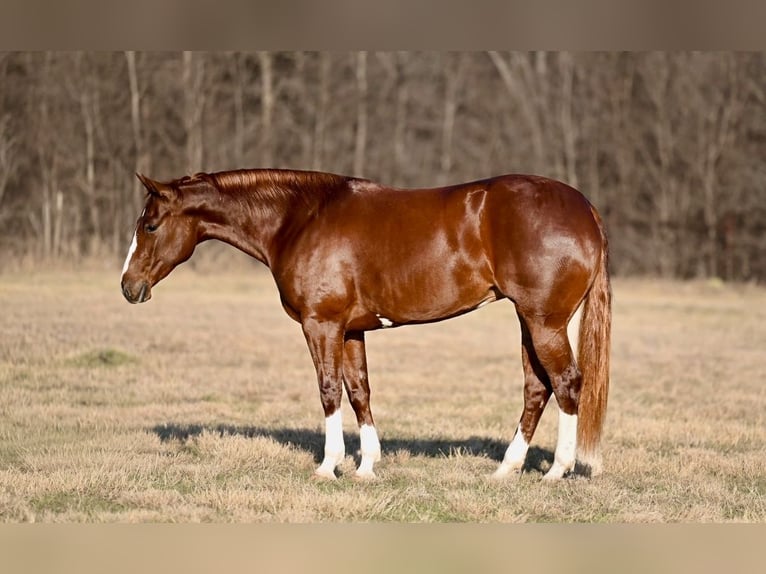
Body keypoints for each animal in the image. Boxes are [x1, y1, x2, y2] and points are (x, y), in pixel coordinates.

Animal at [121, 169, 611, 480]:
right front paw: (367, 466)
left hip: (544, 322)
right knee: (537, 388)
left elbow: (329, 390)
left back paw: (557, 471)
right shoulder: (352, 329)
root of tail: (584, 207)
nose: (128, 286)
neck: (300, 218)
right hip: (530, 321)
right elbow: (359, 391)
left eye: (150, 225)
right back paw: (506, 469)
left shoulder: (321, 324)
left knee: (567, 382)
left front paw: (328, 466)